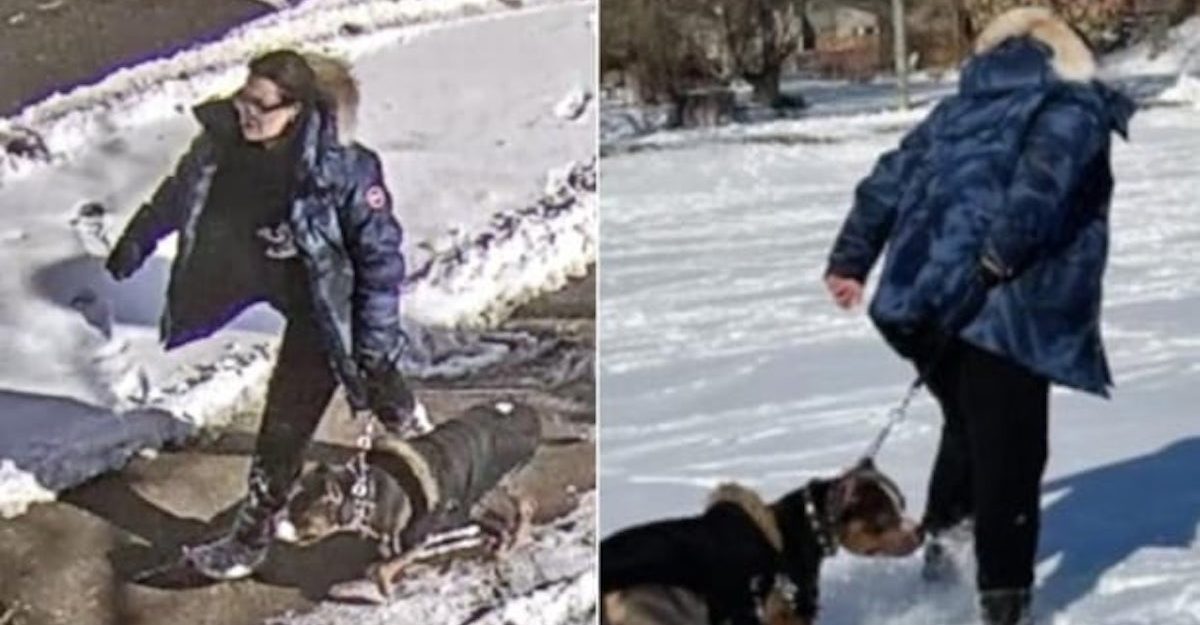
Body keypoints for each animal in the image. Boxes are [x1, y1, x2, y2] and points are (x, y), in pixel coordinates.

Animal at [278, 398, 542, 597]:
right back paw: (503, 540)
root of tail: (522, 409)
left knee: (524, 506)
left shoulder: (418, 537)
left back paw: (513, 540)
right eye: (290, 507)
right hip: (486, 489)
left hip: (502, 479)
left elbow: (380, 569)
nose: (278, 530)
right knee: (504, 511)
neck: (367, 492)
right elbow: (387, 562)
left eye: (303, 518)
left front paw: (387, 591)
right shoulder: (394, 539)